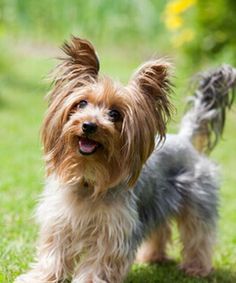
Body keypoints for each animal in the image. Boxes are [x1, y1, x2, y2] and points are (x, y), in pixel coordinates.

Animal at [15, 36, 236, 282]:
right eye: (81, 104)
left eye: (115, 114)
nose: (89, 125)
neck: (89, 176)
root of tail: (186, 139)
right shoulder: (59, 222)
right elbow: (53, 253)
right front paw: (39, 277)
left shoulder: (113, 231)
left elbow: (98, 262)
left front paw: (88, 280)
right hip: (157, 201)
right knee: (161, 229)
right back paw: (152, 257)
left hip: (198, 199)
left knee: (199, 234)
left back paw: (196, 268)